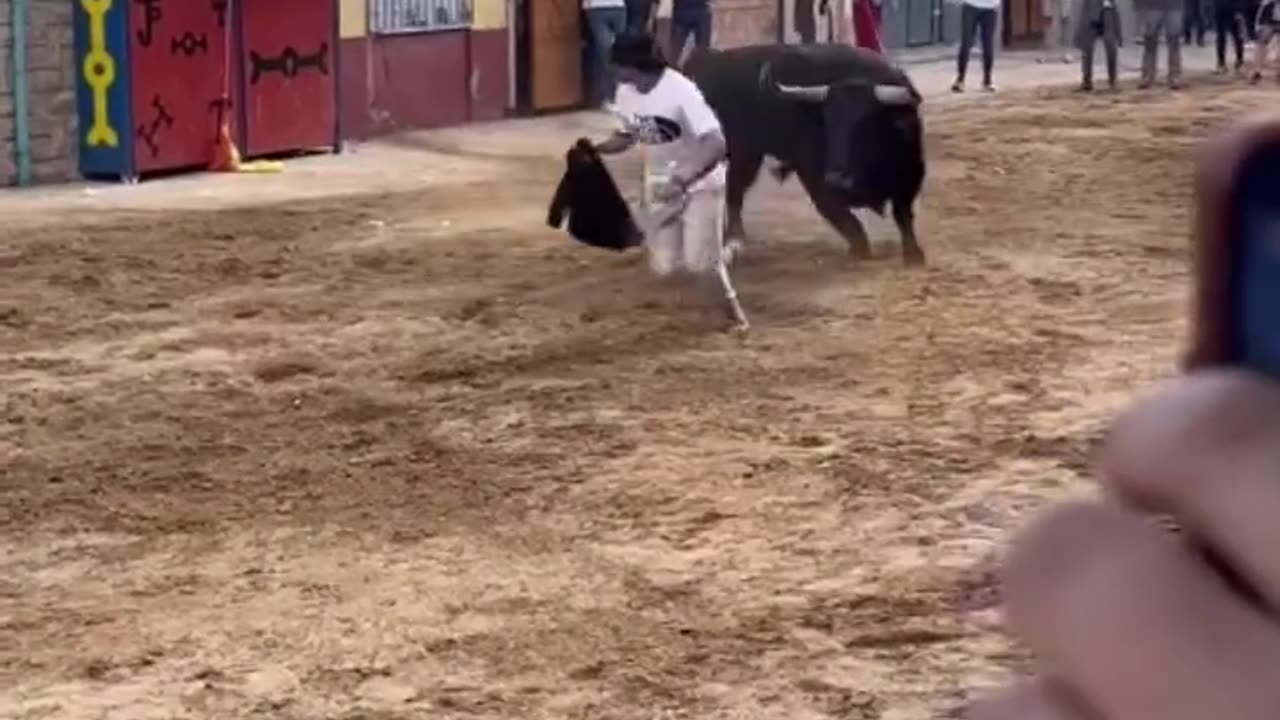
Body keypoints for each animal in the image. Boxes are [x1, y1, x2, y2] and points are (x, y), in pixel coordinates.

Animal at [686, 41, 926, 263]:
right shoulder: (818, 185)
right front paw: (859, 252)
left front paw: (914, 254)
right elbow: (852, 226)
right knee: (734, 191)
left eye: (867, 124)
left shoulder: (911, 175)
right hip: (743, 153)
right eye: (827, 123)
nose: (837, 180)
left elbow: (903, 215)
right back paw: (733, 244)